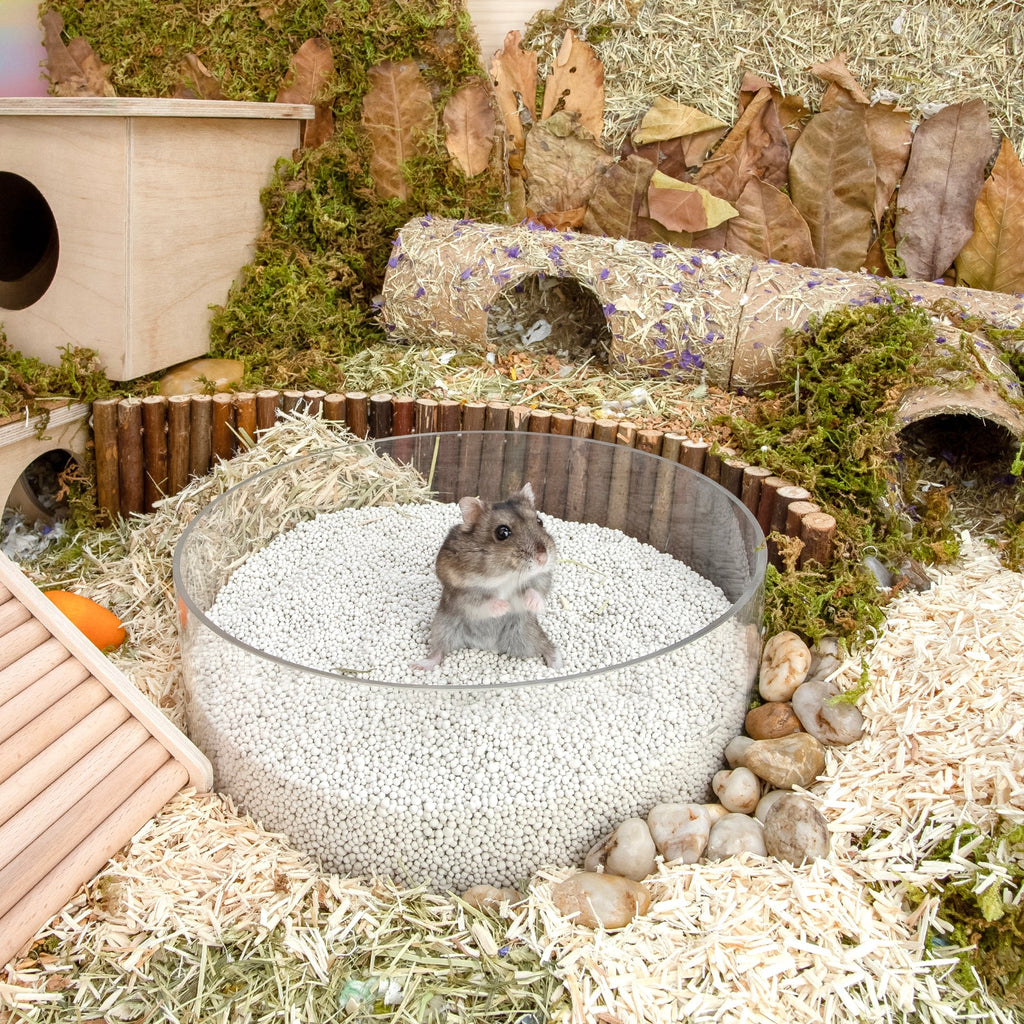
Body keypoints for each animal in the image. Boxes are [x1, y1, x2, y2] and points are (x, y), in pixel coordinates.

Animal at [413, 482, 563, 671]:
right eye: (502, 532)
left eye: (539, 521)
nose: (543, 559)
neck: (507, 574)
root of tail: (489, 645)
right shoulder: (462, 592)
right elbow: (483, 602)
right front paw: (505, 606)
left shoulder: (541, 577)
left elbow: (536, 590)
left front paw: (535, 605)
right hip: (442, 627)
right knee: (438, 651)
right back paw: (419, 665)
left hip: (529, 633)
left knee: (546, 646)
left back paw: (558, 664)